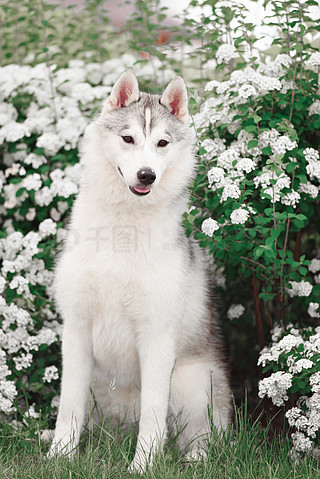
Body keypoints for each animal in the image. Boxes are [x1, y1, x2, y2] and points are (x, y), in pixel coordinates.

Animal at [48, 70, 231, 472]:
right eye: (127, 138)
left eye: (162, 142)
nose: (146, 175)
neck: (123, 227)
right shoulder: (76, 330)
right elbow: (69, 406)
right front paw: (59, 455)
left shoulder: (157, 337)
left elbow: (153, 414)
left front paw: (143, 465)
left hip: (192, 380)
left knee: (202, 434)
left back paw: (194, 458)